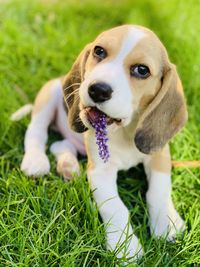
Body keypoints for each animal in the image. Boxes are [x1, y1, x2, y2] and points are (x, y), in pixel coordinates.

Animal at [13, 25, 188, 262]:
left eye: (142, 70)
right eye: (99, 51)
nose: (98, 90)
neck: (124, 131)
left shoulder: (159, 154)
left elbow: (159, 190)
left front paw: (167, 224)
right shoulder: (100, 172)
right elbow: (116, 207)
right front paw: (126, 247)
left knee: (61, 145)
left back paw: (68, 167)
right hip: (49, 93)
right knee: (36, 132)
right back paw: (36, 161)